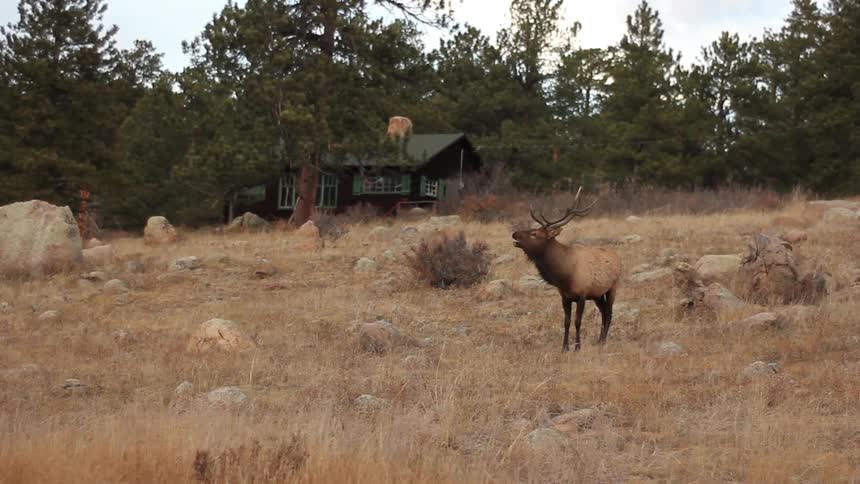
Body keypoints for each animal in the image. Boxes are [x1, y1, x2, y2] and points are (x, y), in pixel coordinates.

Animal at [512, 188, 622, 352]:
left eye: (534, 233)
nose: (514, 234)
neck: (565, 276)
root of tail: (617, 256)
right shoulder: (565, 296)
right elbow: (566, 322)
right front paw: (564, 347)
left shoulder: (582, 294)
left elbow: (577, 321)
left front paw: (577, 347)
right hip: (597, 294)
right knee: (603, 311)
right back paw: (599, 340)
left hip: (613, 287)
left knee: (609, 312)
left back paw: (603, 341)